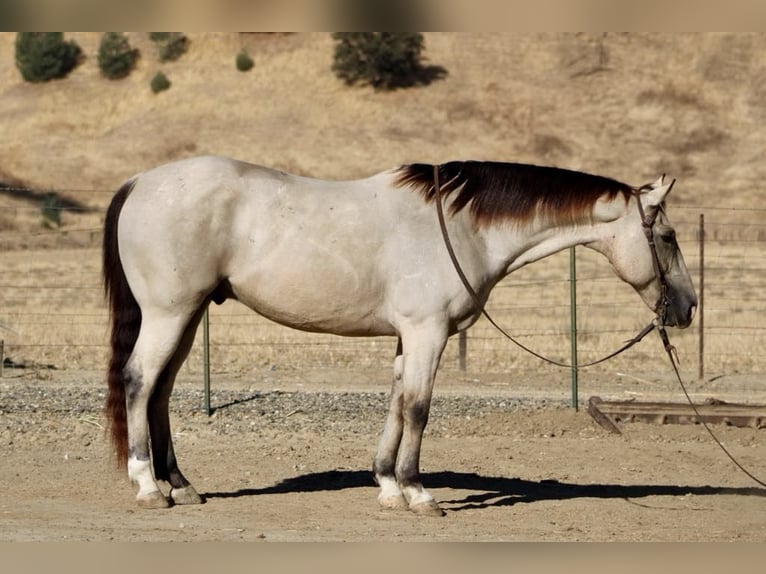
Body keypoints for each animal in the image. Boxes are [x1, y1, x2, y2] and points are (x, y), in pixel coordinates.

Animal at [103, 156, 697, 516]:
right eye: (667, 236)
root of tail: (141, 182)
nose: (689, 307)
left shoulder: (407, 338)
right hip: (169, 314)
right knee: (139, 381)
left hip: (187, 316)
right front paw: (417, 492)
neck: (460, 227)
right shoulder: (427, 333)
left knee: (161, 390)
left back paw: (181, 484)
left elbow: (395, 402)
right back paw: (149, 486)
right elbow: (419, 408)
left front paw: (387, 486)